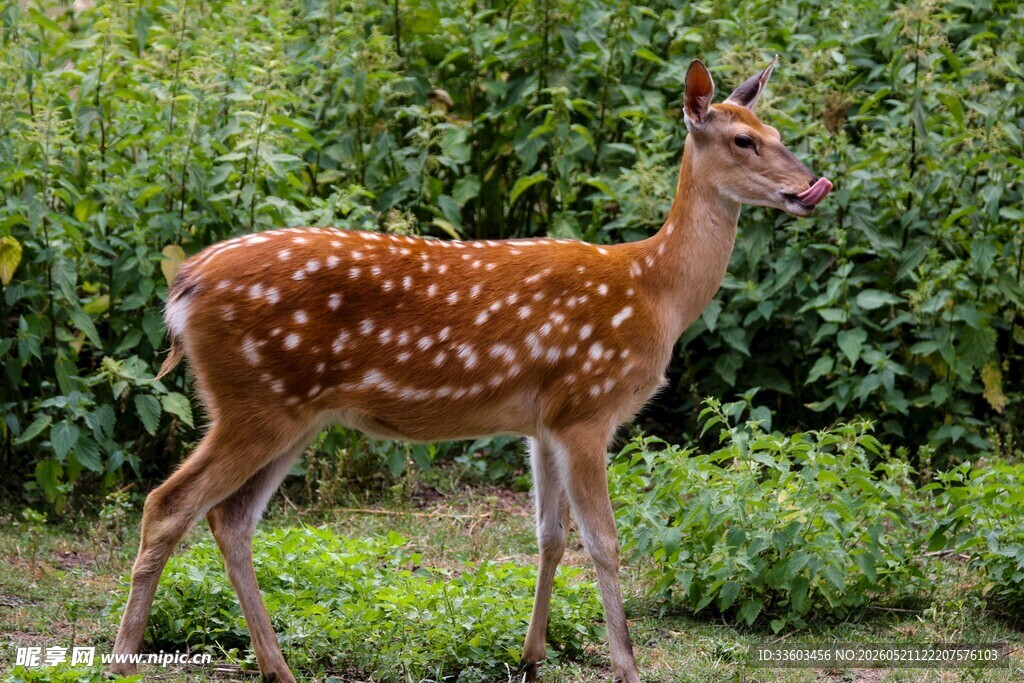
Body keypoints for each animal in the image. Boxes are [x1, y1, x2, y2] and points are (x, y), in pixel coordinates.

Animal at [111, 57, 831, 683]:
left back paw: (277, 667)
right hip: (255, 401)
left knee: (230, 520)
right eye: (743, 140)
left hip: (291, 414)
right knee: (167, 504)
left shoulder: (543, 421)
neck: (656, 291)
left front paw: (532, 658)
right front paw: (628, 666)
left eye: (779, 134)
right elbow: (604, 541)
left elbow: (548, 536)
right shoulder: (588, 405)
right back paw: (123, 660)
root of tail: (185, 288)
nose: (811, 187)